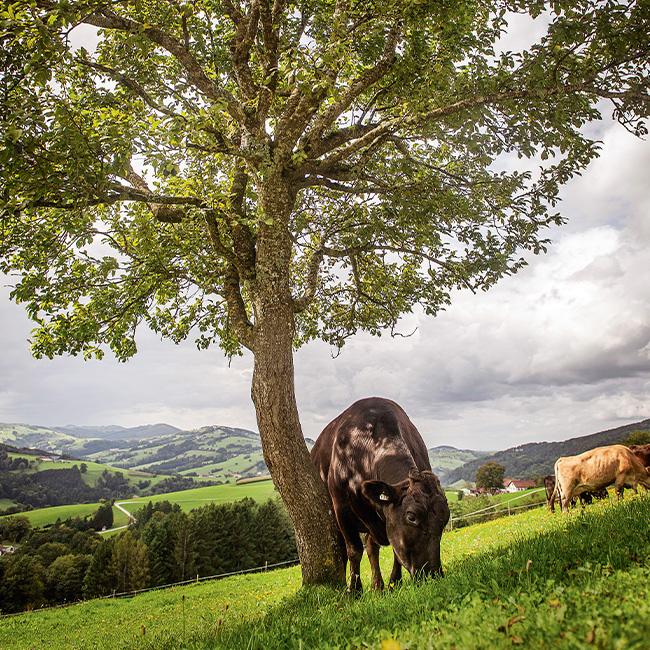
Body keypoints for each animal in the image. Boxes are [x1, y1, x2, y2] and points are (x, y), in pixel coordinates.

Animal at [310, 397, 450, 593]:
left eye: (445, 518)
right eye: (411, 517)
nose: (432, 575)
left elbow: (394, 549)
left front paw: (394, 582)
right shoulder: (341, 506)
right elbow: (354, 550)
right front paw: (354, 591)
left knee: (371, 546)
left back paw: (378, 585)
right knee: (344, 551)